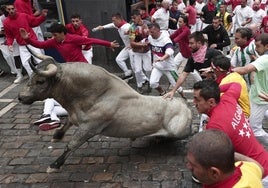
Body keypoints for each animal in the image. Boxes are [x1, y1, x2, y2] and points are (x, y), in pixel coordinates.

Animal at [17, 53, 192, 173]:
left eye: (40, 81)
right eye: (31, 77)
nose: (20, 97)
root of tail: (185, 106)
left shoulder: (90, 128)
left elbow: (71, 144)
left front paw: (54, 165)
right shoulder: (75, 118)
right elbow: (67, 123)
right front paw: (57, 135)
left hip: (177, 130)